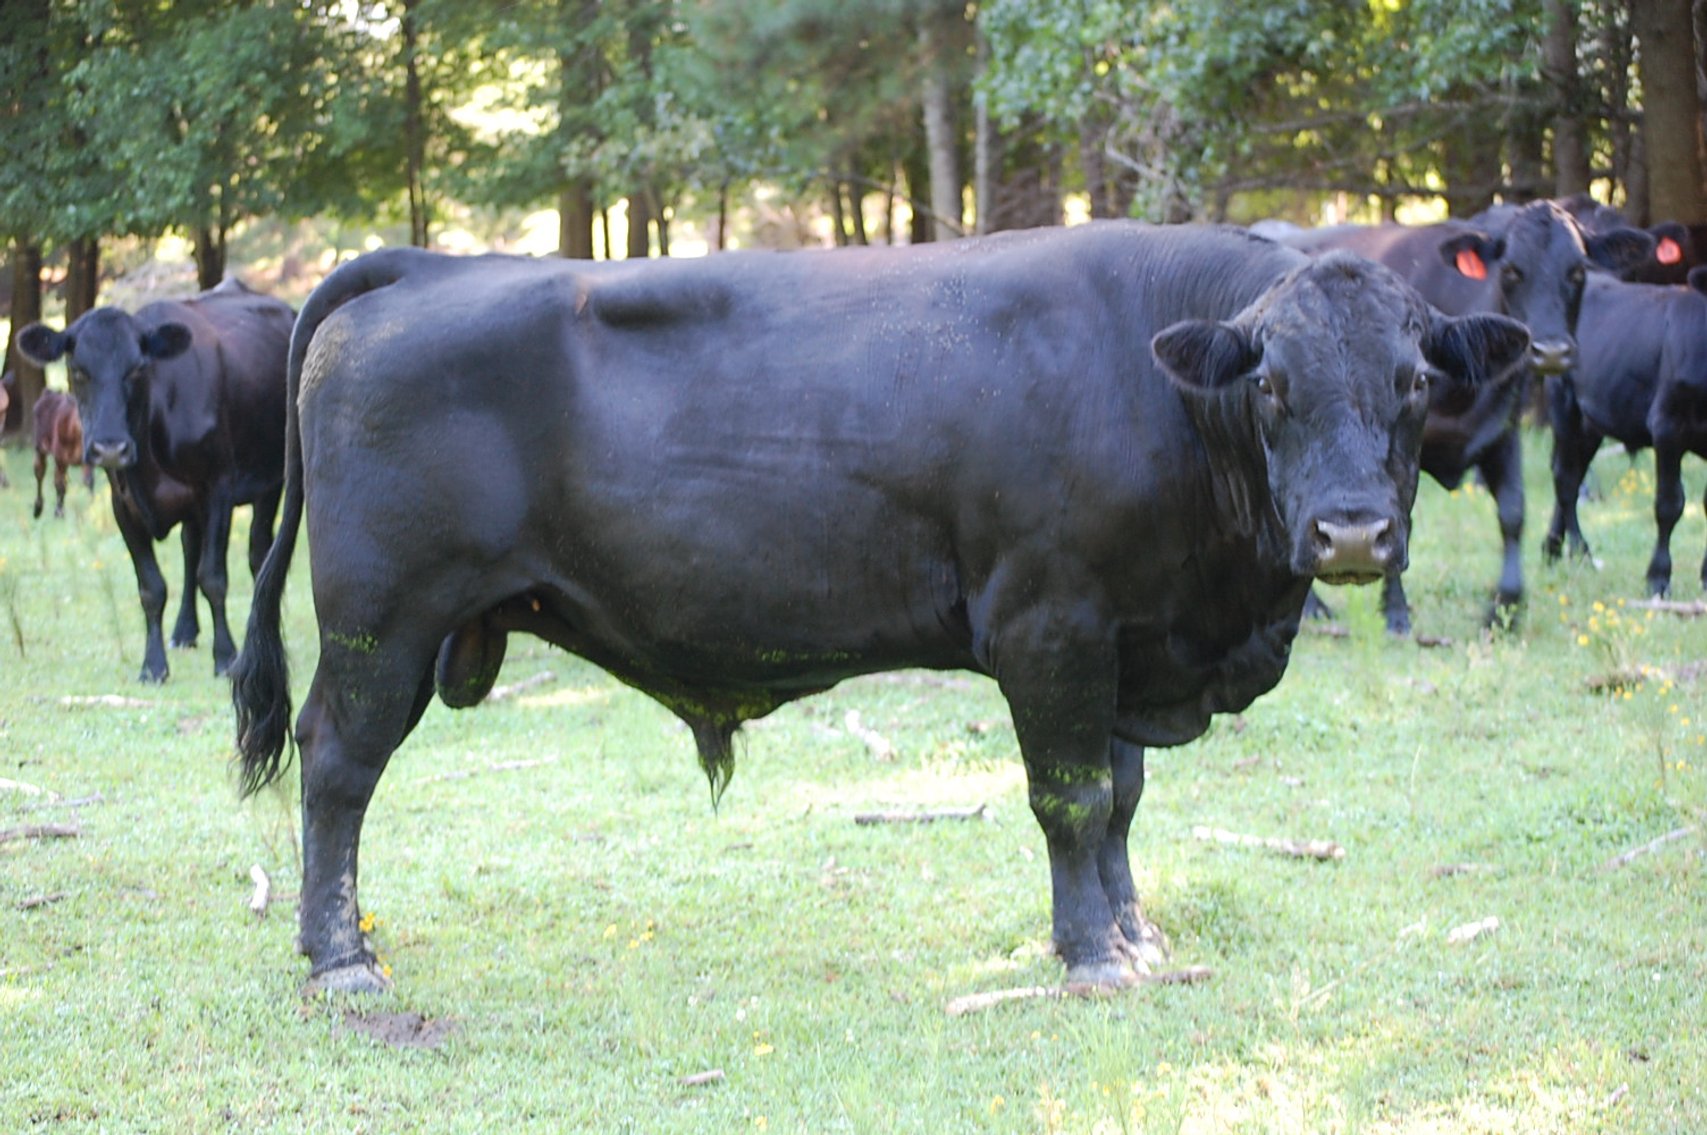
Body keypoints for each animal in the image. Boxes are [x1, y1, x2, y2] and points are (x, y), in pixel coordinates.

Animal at [31, 389, 93, 519]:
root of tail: (48, 392)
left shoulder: (87, 460)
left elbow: (88, 481)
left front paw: (92, 506)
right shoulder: (60, 458)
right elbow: (60, 485)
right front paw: (59, 513)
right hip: (40, 447)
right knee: (40, 473)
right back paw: (38, 508)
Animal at [229, 225, 1528, 996]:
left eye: (1416, 379)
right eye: (1271, 385)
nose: (1352, 534)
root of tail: (426, 261)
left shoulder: (1124, 639)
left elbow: (1121, 804)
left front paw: (1133, 932)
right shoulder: (1049, 627)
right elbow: (1071, 800)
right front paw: (1090, 958)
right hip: (381, 622)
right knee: (336, 770)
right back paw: (340, 958)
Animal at [1278, 201, 1651, 632]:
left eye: (1577, 271)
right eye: (1511, 270)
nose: (1552, 351)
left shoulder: (1503, 428)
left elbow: (1513, 513)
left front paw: (1506, 606)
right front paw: (1396, 611)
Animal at [1543, 267, 1707, 596]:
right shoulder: (1667, 425)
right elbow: (1669, 504)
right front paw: (1658, 578)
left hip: (1591, 423)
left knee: (1571, 473)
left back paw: (1552, 549)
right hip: (1564, 403)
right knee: (1565, 479)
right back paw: (1581, 552)